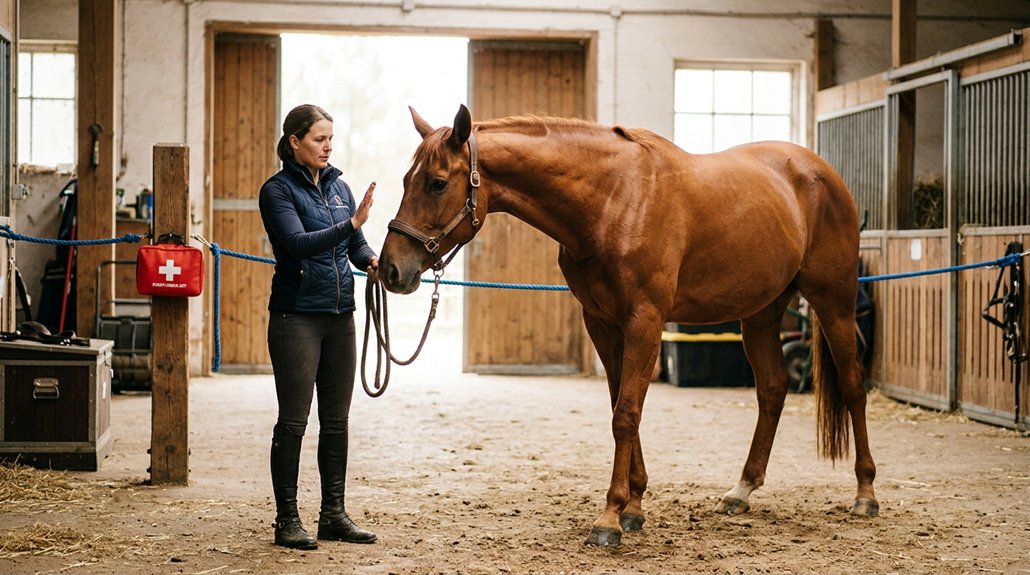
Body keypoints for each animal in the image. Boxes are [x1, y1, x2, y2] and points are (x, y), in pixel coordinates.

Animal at [379, 104, 878, 546]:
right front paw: (634, 507)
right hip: (760, 313)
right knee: (773, 389)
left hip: (833, 302)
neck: (613, 200)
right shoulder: (602, 323)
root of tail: (822, 173)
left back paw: (865, 494)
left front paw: (609, 519)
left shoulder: (645, 320)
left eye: (437, 183)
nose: (390, 270)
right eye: (405, 180)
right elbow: (621, 404)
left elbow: (626, 414)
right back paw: (741, 490)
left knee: (854, 385)